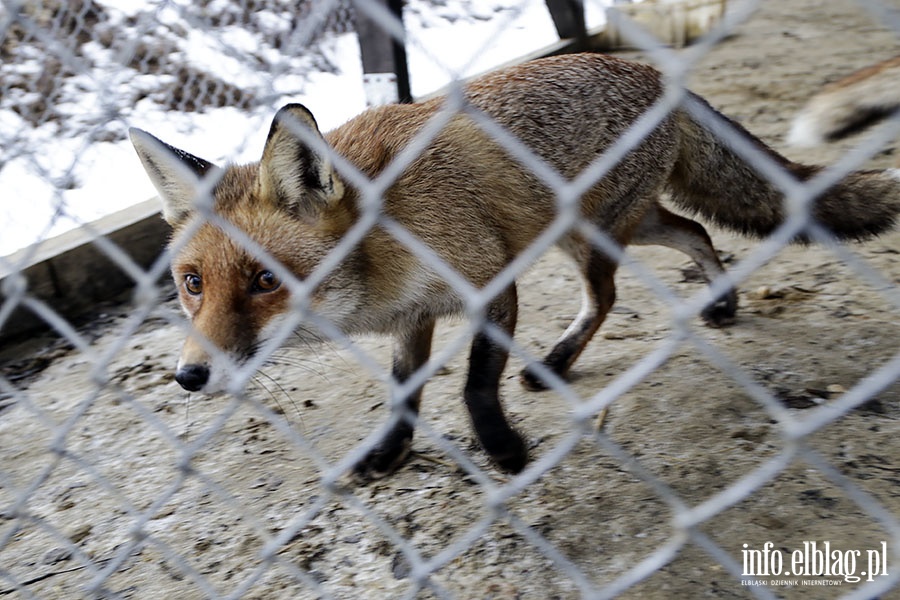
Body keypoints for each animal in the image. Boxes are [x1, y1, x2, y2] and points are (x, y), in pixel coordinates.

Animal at [128, 54, 900, 480]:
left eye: (265, 281)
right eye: (192, 285)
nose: (190, 376)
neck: (385, 239)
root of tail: (655, 72)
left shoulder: (492, 288)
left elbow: (476, 384)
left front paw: (501, 448)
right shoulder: (413, 318)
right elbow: (403, 395)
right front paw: (390, 452)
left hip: (588, 235)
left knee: (611, 293)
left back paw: (559, 359)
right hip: (622, 223)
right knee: (695, 232)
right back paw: (721, 300)